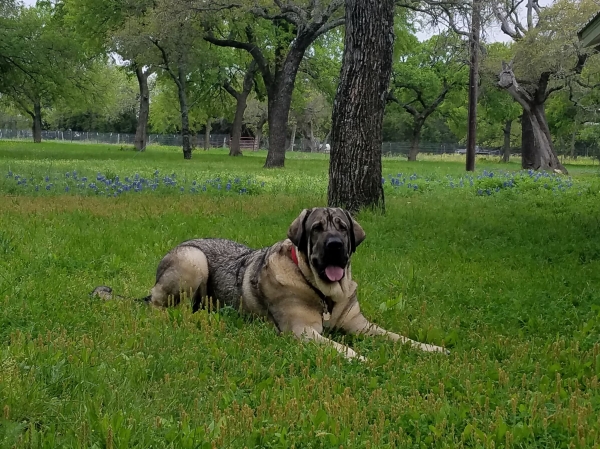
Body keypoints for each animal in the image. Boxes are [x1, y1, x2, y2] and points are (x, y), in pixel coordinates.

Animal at [91, 207, 448, 360]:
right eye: (317, 228)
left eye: (343, 228)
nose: (335, 245)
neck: (323, 292)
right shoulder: (302, 332)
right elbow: (340, 346)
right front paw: (360, 358)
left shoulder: (362, 325)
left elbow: (399, 338)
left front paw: (432, 349)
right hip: (192, 259)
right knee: (161, 307)